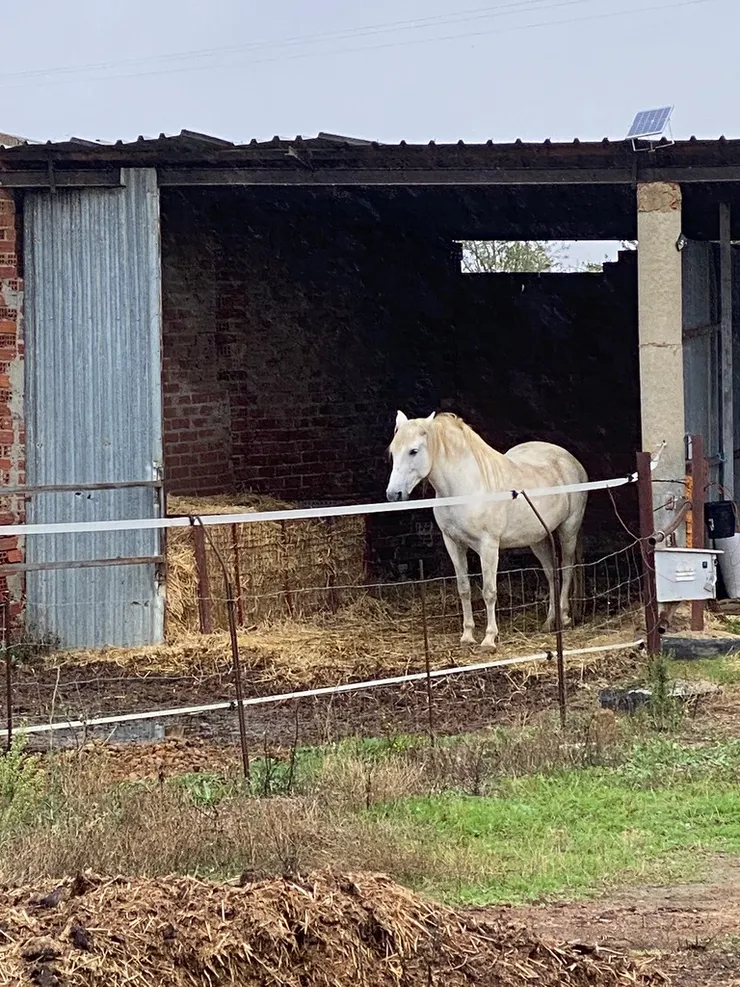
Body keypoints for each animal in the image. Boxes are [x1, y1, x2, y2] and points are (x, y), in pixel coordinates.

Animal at [385, 411, 588, 650]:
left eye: (413, 451)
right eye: (393, 451)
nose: (393, 494)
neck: (465, 488)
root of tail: (571, 460)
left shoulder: (488, 546)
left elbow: (489, 591)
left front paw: (489, 638)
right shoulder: (453, 543)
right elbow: (464, 589)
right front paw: (467, 635)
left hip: (568, 531)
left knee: (567, 569)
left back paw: (564, 617)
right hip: (537, 539)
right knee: (551, 574)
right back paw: (549, 622)